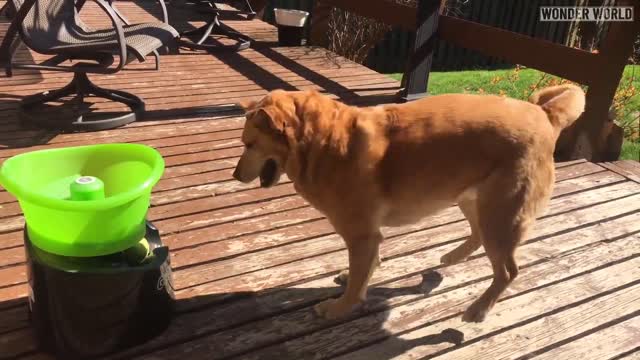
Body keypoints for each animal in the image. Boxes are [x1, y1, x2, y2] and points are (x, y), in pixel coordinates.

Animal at [234, 83, 584, 320]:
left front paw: (339, 307)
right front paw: (355, 278)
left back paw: (478, 309)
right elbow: (365, 269)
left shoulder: (362, 235)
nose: (235, 176)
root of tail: (544, 114)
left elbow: (357, 282)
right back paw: (452, 258)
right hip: (474, 200)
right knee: (477, 235)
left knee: (508, 271)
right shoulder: (369, 237)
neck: (323, 140)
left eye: (249, 144)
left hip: (500, 215)